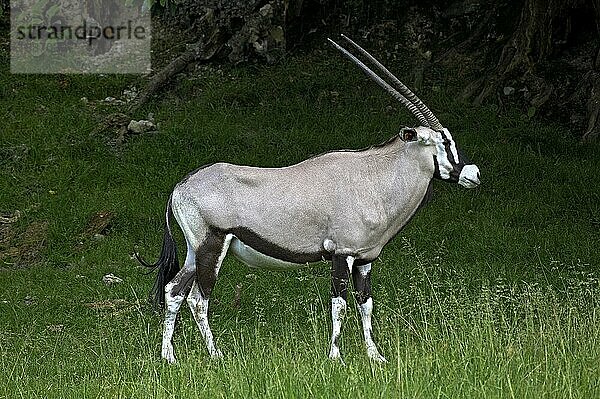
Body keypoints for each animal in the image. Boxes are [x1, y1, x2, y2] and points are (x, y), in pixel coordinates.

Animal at [137, 35, 482, 366]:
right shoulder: (342, 254)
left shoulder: (365, 259)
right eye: (443, 142)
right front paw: (336, 357)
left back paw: (169, 357)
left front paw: (375, 356)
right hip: (212, 247)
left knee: (174, 291)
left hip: (195, 252)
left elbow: (366, 304)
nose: (474, 173)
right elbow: (340, 305)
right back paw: (215, 355)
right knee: (198, 298)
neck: (374, 177)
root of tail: (180, 187)